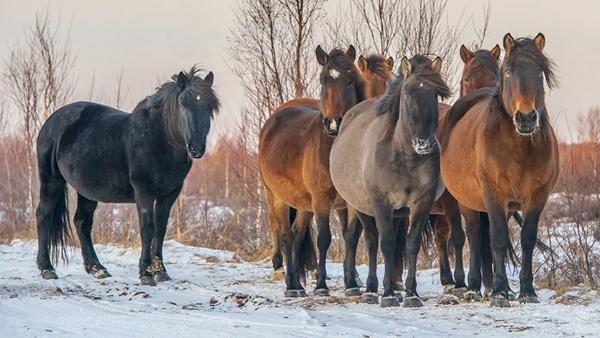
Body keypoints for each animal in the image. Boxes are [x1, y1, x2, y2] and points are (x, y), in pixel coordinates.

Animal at [35, 66, 219, 286]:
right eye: (183, 104)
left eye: (209, 106)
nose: (196, 148)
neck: (159, 139)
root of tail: (51, 121)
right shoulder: (144, 192)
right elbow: (147, 229)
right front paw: (146, 273)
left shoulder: (169, 195)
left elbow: (160, 229)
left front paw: (161, 271)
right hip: (51, 181)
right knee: (43, 215)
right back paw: (47, 268)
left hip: (87, 191)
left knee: (82, 222)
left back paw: (97, 268)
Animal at [258, 45, 366, 296]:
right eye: (323, 80)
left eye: (349, 81)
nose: (334, 123)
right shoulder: (321, 200)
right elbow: (324, 239)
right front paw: (321, 286)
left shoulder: (349, 202)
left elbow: (351, 237)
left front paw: (351, 284)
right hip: (277, 197)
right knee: (286, 236)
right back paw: (291, 286)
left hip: (303, 204)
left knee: (297, 235)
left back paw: (298, 284)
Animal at [438, 33, 560, 306]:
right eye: (509, 72)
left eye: (539, 72)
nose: (526, 118)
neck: (520, 148)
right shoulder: (494, 195)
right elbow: (498, 238)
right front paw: (501, 291)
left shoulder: (537, 197)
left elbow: (527, 239)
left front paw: (526, 291)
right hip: (466, 201)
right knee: (473, 234)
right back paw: (473, 286)